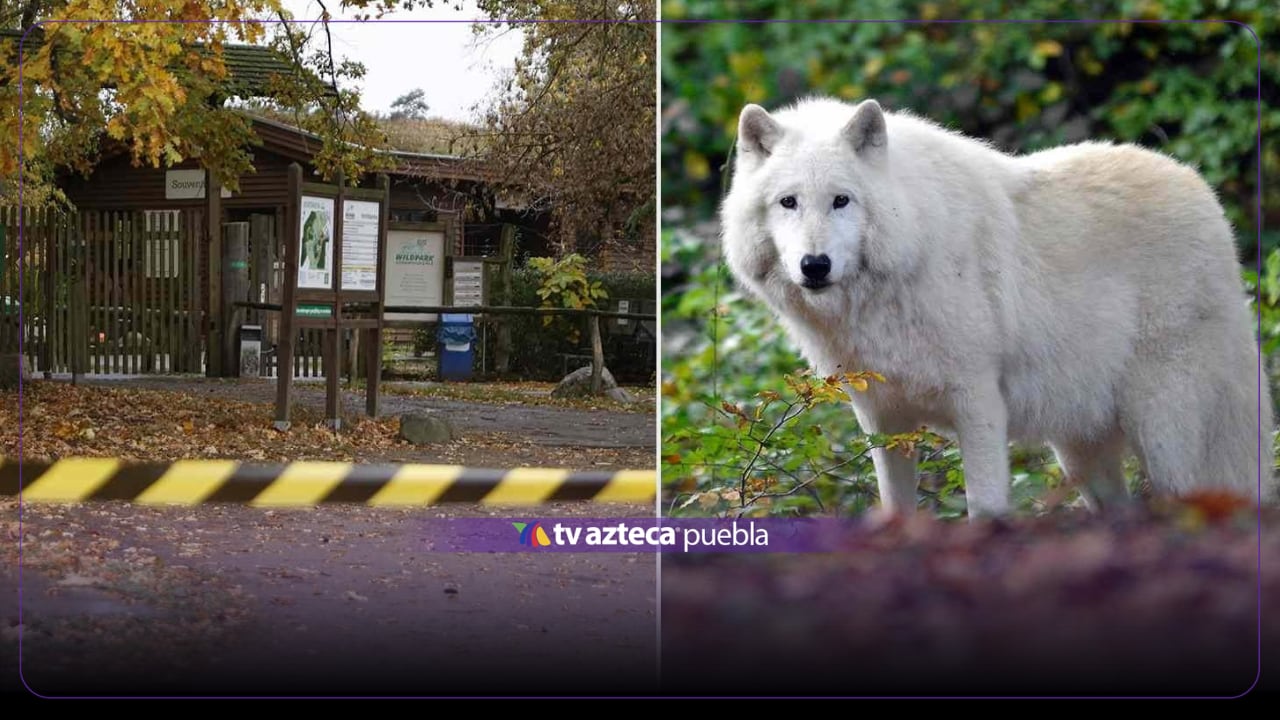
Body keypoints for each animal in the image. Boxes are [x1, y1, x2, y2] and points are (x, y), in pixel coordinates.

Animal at [719, 96, 1275, 518]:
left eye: (841, 200)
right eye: (788, 202)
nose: (815, 265)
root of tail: (1204, 193)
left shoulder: (979, 404)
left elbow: (984, 509)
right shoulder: (882, 419)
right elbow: (896, 508)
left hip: (1170, 437)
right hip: (1081, 455)